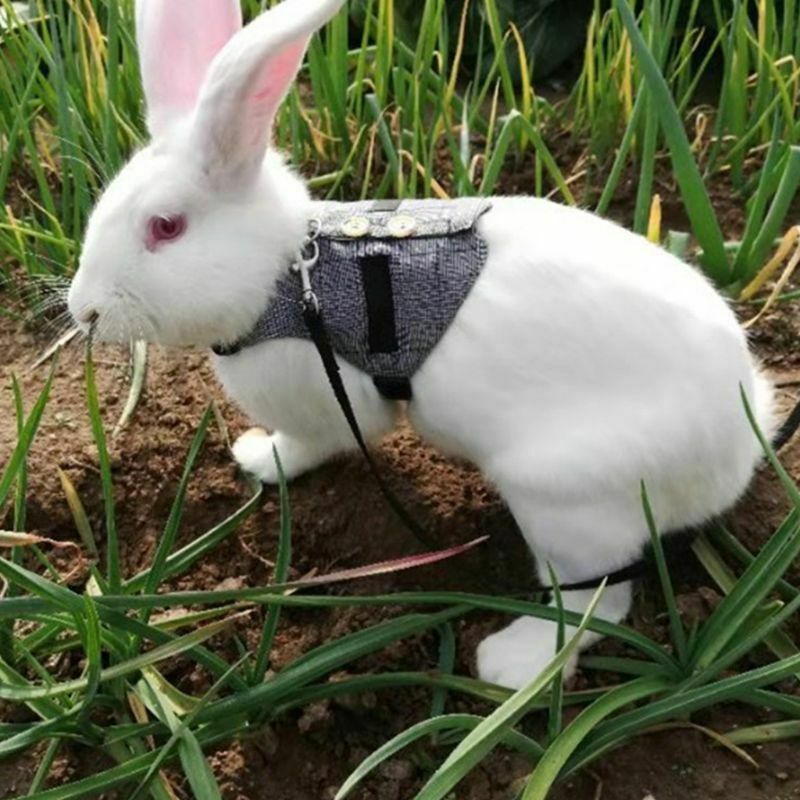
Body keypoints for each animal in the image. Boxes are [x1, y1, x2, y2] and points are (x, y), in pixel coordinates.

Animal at [68, 0, 777, 690]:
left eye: (166, 227)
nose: (83, 309)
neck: (285, 274)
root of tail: (739, 447)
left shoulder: (329, 404)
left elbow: (308, 445)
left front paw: (260, 459)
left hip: (566, 502)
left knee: (593, 603)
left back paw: (510, 664)